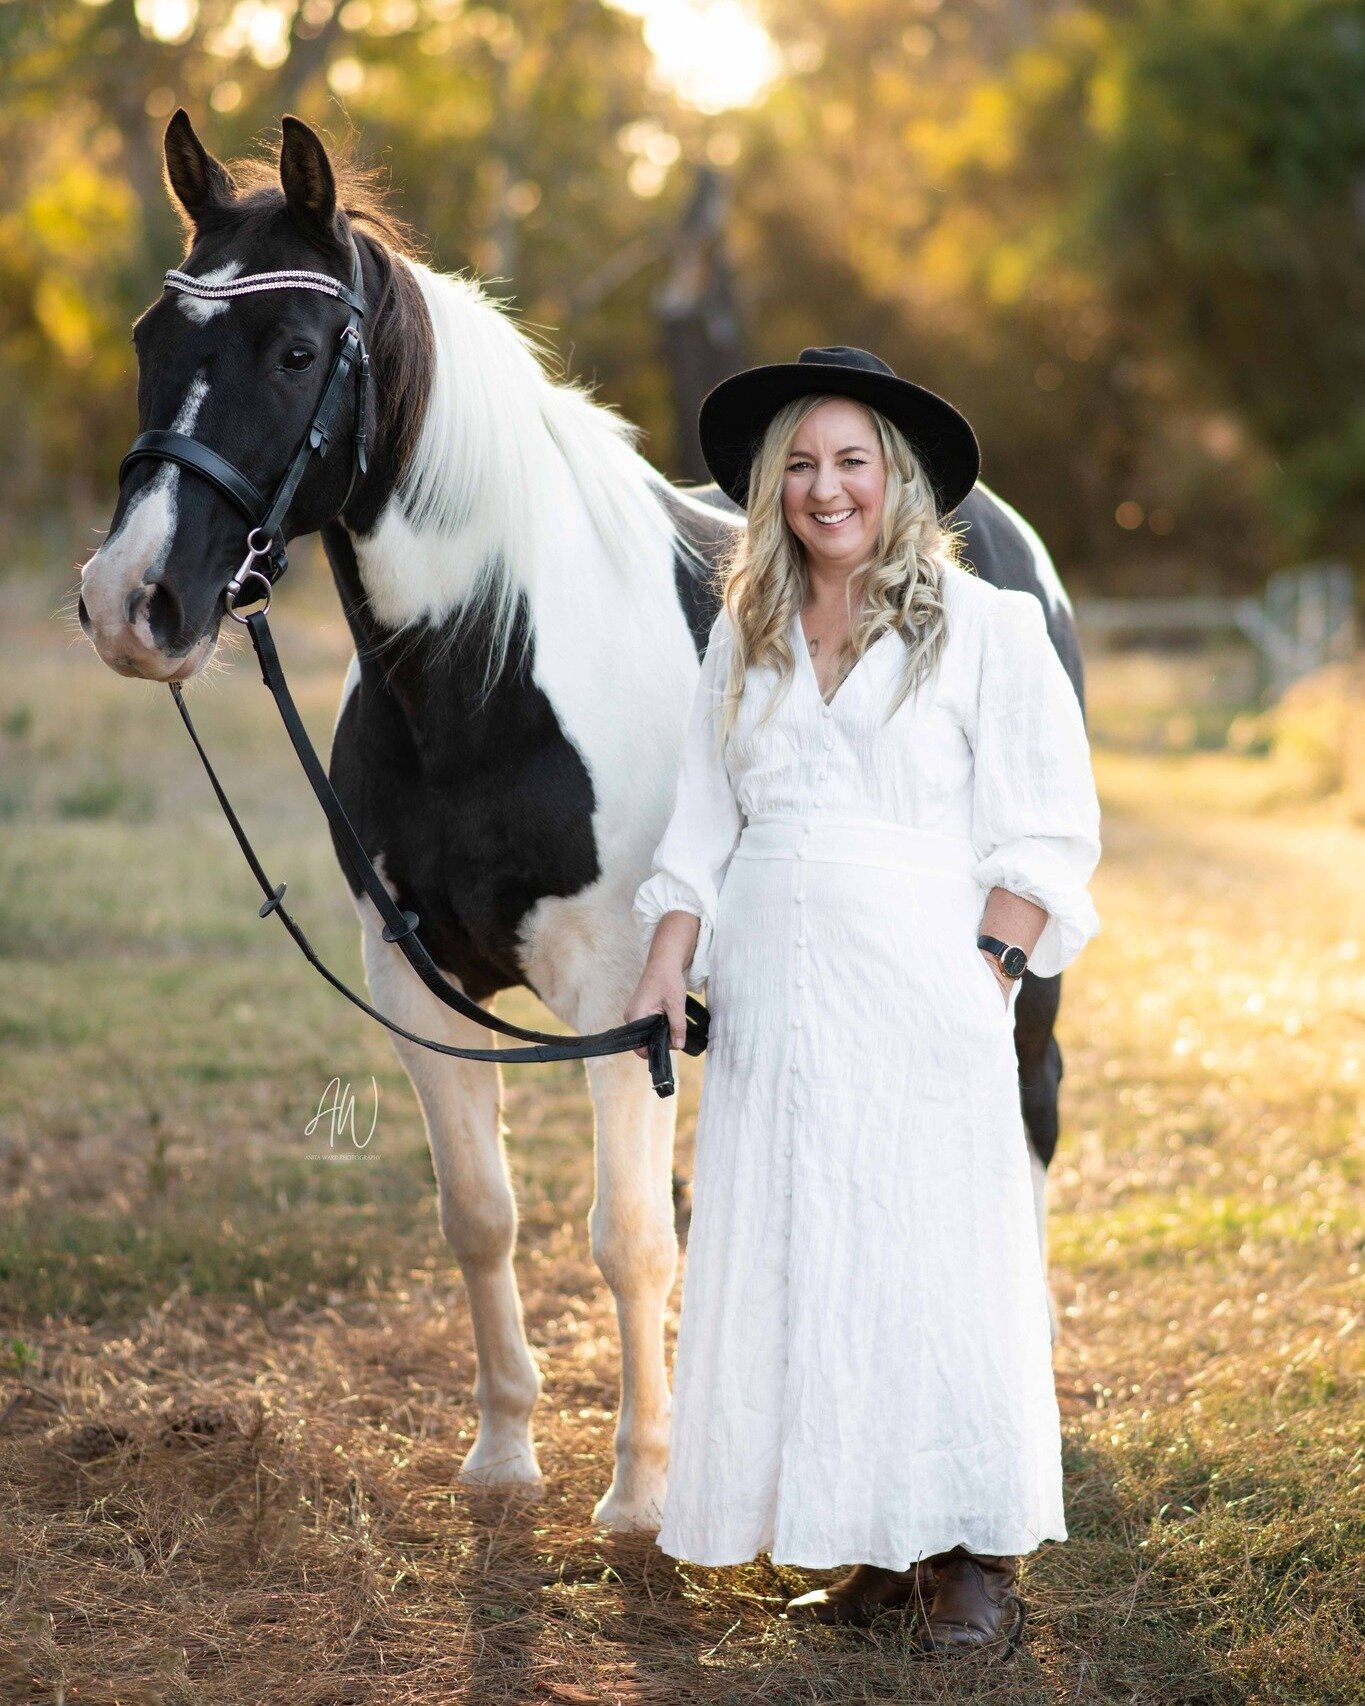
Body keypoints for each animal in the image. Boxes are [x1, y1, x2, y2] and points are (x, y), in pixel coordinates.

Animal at [80, 113, 1085, 1535]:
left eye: (293, 352)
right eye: (148, 340)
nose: (133, 601)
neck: (488, 674)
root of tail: (995, 527)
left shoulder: (624, 992)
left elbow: (626, 1236)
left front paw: (643, 1491)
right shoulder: (418, 982)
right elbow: (482, 1214)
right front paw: (504, 1453)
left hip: (1023, 956)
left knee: (1024, 1104)